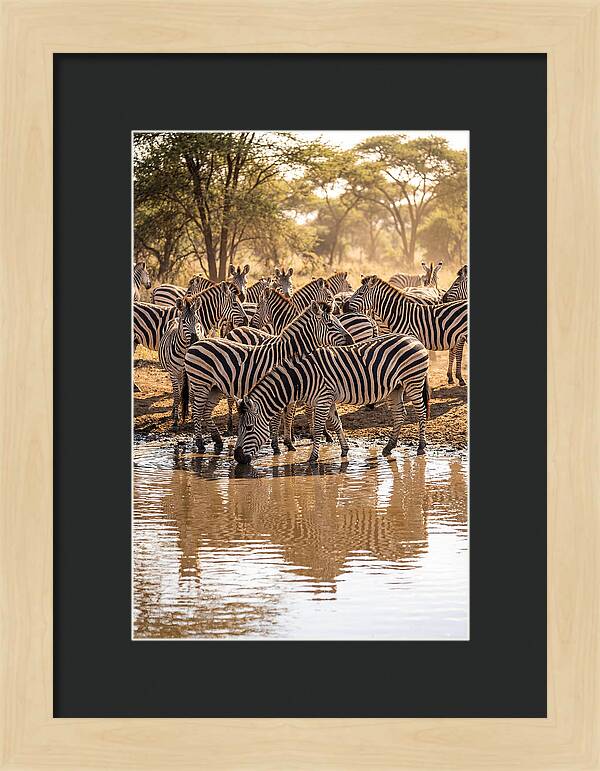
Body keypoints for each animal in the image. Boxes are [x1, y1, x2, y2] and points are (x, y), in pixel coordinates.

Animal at [158, 296, 200, 429]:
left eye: (197, 320)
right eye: (184, 321)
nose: (195, 340)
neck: (184, 352)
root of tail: (175, 318)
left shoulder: (192, 373)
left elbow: (191, 395)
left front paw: (191, 416)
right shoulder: (173, 372)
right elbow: (177, 394)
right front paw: (176, 420)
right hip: (175, 373)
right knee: (177, 391)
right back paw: (174, 411)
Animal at [183, 301, 353, 452]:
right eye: (330, 324)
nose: (351, 340)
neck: (288, 354)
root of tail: (194, 345)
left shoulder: (291, 388)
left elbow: (289, 416)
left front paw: (289, 443)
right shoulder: (279, 387)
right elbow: (278, 417)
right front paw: (276, 445)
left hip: (215, 387)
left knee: (206, 411)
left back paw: (217, 440)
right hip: (201, 383)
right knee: (197, 412)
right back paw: (200, 444)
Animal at [234, 333, 430, 465]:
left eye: (249, 428)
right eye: (239, 428)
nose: (237, 457)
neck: (303, 378)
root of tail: (414, 339)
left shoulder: (323, 399)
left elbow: (318, 429)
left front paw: (313, 458)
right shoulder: (327, 399)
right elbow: (336, 424)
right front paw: (344, 450)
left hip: (413, 381)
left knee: (421, 412)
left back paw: (421, 446)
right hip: (395, 388)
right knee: (400, 414)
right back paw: (389, 447)